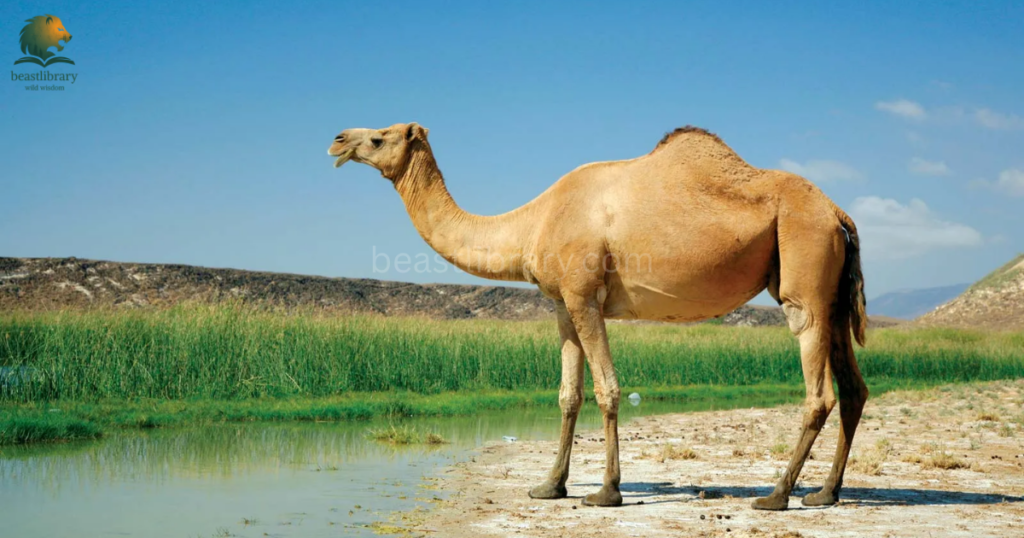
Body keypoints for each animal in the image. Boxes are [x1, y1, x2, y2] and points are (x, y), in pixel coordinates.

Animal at [327, 122, 869, 510]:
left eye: (379, 136)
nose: (337, 140)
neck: (532, 223)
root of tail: (838, 213)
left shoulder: (585, 295)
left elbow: (608, 389)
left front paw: (607, 491)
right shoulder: (561, 303)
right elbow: (569, 394)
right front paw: (550, 486)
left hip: (804, 267)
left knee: (818, 389)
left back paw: (776, 496)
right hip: (833, 292)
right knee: (853, 388)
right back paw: (825, 493)